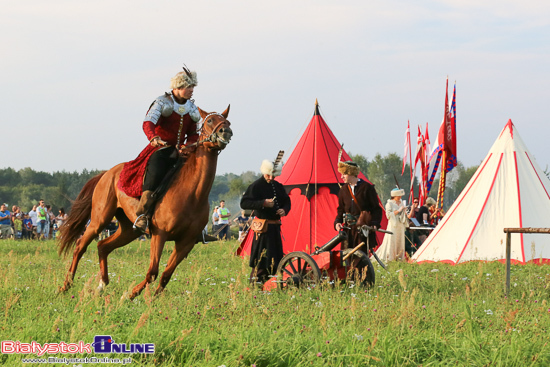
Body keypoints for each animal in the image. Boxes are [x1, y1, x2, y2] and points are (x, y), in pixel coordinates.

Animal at [58, 105, 233, 300]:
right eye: (209, 121)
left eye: (227, 121)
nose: (226, 132)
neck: (193, 193)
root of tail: (107, 173)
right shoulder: (159, 235)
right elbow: (153, 272)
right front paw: (131, 294)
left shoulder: (185, 242)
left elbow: (166, 275)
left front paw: (153, 298)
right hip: (99, 220)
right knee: (80, 246)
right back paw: (66, 285)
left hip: (129, 229)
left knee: (103, 246)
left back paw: (102, 284)